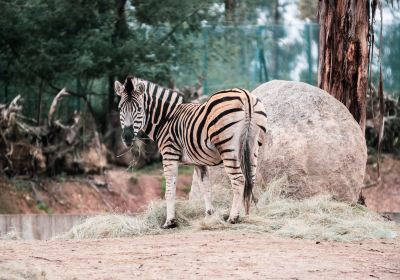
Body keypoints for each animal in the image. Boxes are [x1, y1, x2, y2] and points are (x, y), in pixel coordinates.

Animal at [114, 76, 268, 228]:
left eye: (139, 108)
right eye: (120, 108)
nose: (127, 137)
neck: (166, 119)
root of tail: (245, 94)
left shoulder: (169, 155)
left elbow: (170, 190)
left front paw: (170, 221)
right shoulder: (199, 162)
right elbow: (205, 188)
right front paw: (209, 216)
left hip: (227, 147)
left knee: (239, 179)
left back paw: (233, 217)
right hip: (253, 146)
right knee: (250, 179)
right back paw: (246, 215)